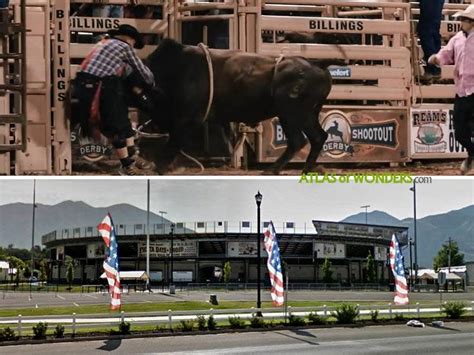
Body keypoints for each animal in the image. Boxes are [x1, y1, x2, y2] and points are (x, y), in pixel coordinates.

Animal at [139, 39, 338, 175]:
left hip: (291, 113)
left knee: (298, 140)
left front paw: (159, 166)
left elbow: (173, 141)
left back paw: (272, 170)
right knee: (318, 137)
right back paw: (306, 169)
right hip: (308, 114)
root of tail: (317, 64)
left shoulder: (188, 118)